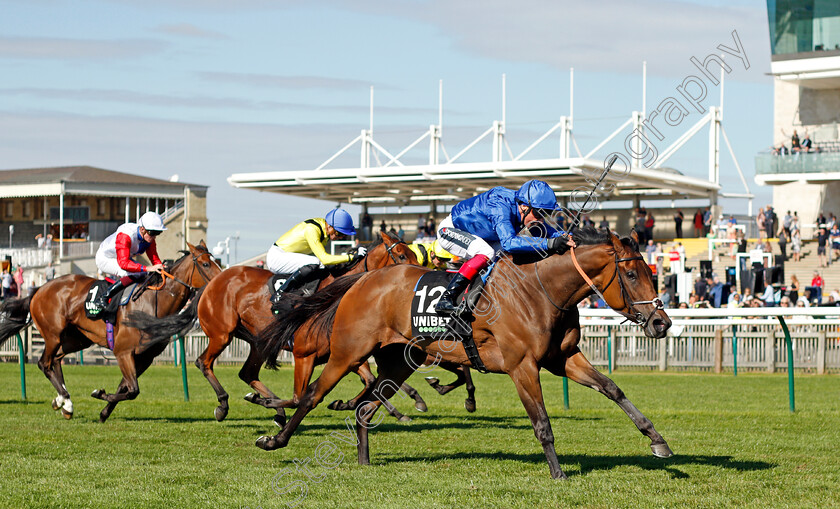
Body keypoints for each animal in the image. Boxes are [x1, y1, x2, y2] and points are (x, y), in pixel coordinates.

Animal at [0, 241, 220, 420]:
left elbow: (127, 387)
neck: (151, 304)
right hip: (53, 334)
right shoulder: (123, 351)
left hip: (77, 338)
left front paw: (104, 412)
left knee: (56, 360)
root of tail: (39, 289)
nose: (221, 281)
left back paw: (63, 402)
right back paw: (65, 400)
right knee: (44, 363)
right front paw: (98, 394)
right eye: (205, 264)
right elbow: (133, 390)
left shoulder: (145, 357)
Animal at [126, 230, 426, 424]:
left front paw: (352, 404)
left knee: (247, 373)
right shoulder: (315, 352)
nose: (417, 278)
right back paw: (223, 405)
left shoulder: (345, 352)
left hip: (258, 341)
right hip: (222, 334)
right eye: (401, 255)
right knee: (204, 362)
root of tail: (211, 285)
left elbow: (371, 380)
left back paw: (275, 411)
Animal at [254, 228, 668, 478]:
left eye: (652, 272)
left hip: (397, 363)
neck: (540, 289)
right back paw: (275, 439)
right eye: (632, 275)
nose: (661, 322)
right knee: (311, 396)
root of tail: (363, 279)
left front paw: (656, 440)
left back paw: (364, 460)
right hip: (347, 353)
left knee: (366, 408)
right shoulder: (523, 366)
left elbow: (612, 388)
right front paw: (558, 473)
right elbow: (542, 423)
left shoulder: (562, 358)